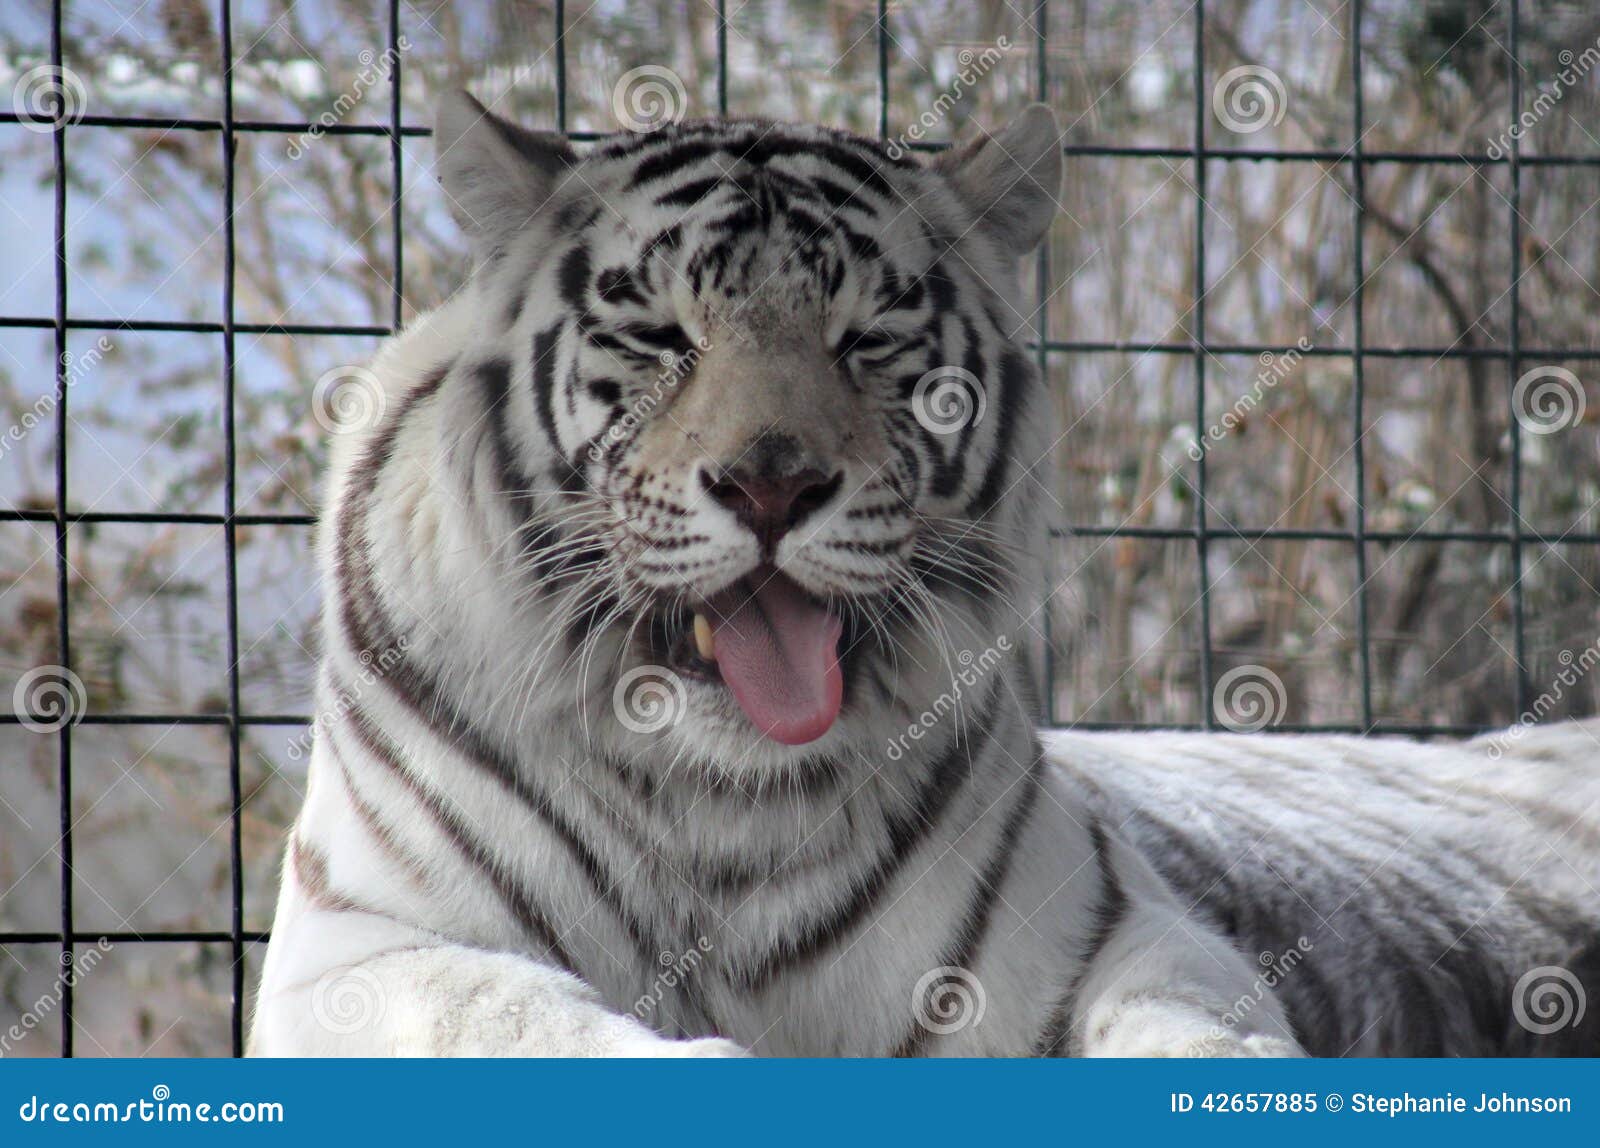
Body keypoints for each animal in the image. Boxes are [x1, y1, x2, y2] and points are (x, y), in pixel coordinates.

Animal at [249, 91, 1600, 1058]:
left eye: (867, 342)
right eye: (663, 335)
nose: (771, 485)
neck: (712, 795)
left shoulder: (1103, 933)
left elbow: (1200, 1036)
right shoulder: (360, 950)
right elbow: (524, 1016)